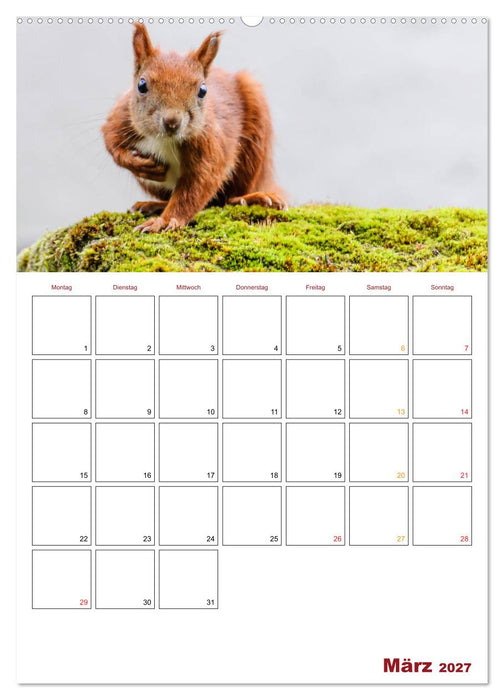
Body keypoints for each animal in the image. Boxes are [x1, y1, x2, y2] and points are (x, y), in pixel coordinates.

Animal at [102, 23, 287, 232]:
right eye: (141, 85)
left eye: (203, 90)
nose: (172, 121)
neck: (164, 139)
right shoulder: (121, 117)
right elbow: (111, 142)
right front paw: (138, 164)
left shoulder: (209, 144)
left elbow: (197, 185)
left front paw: (164, 221)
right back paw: (153, 204)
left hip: (255, 146)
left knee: (225, 198)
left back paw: (252, 198)